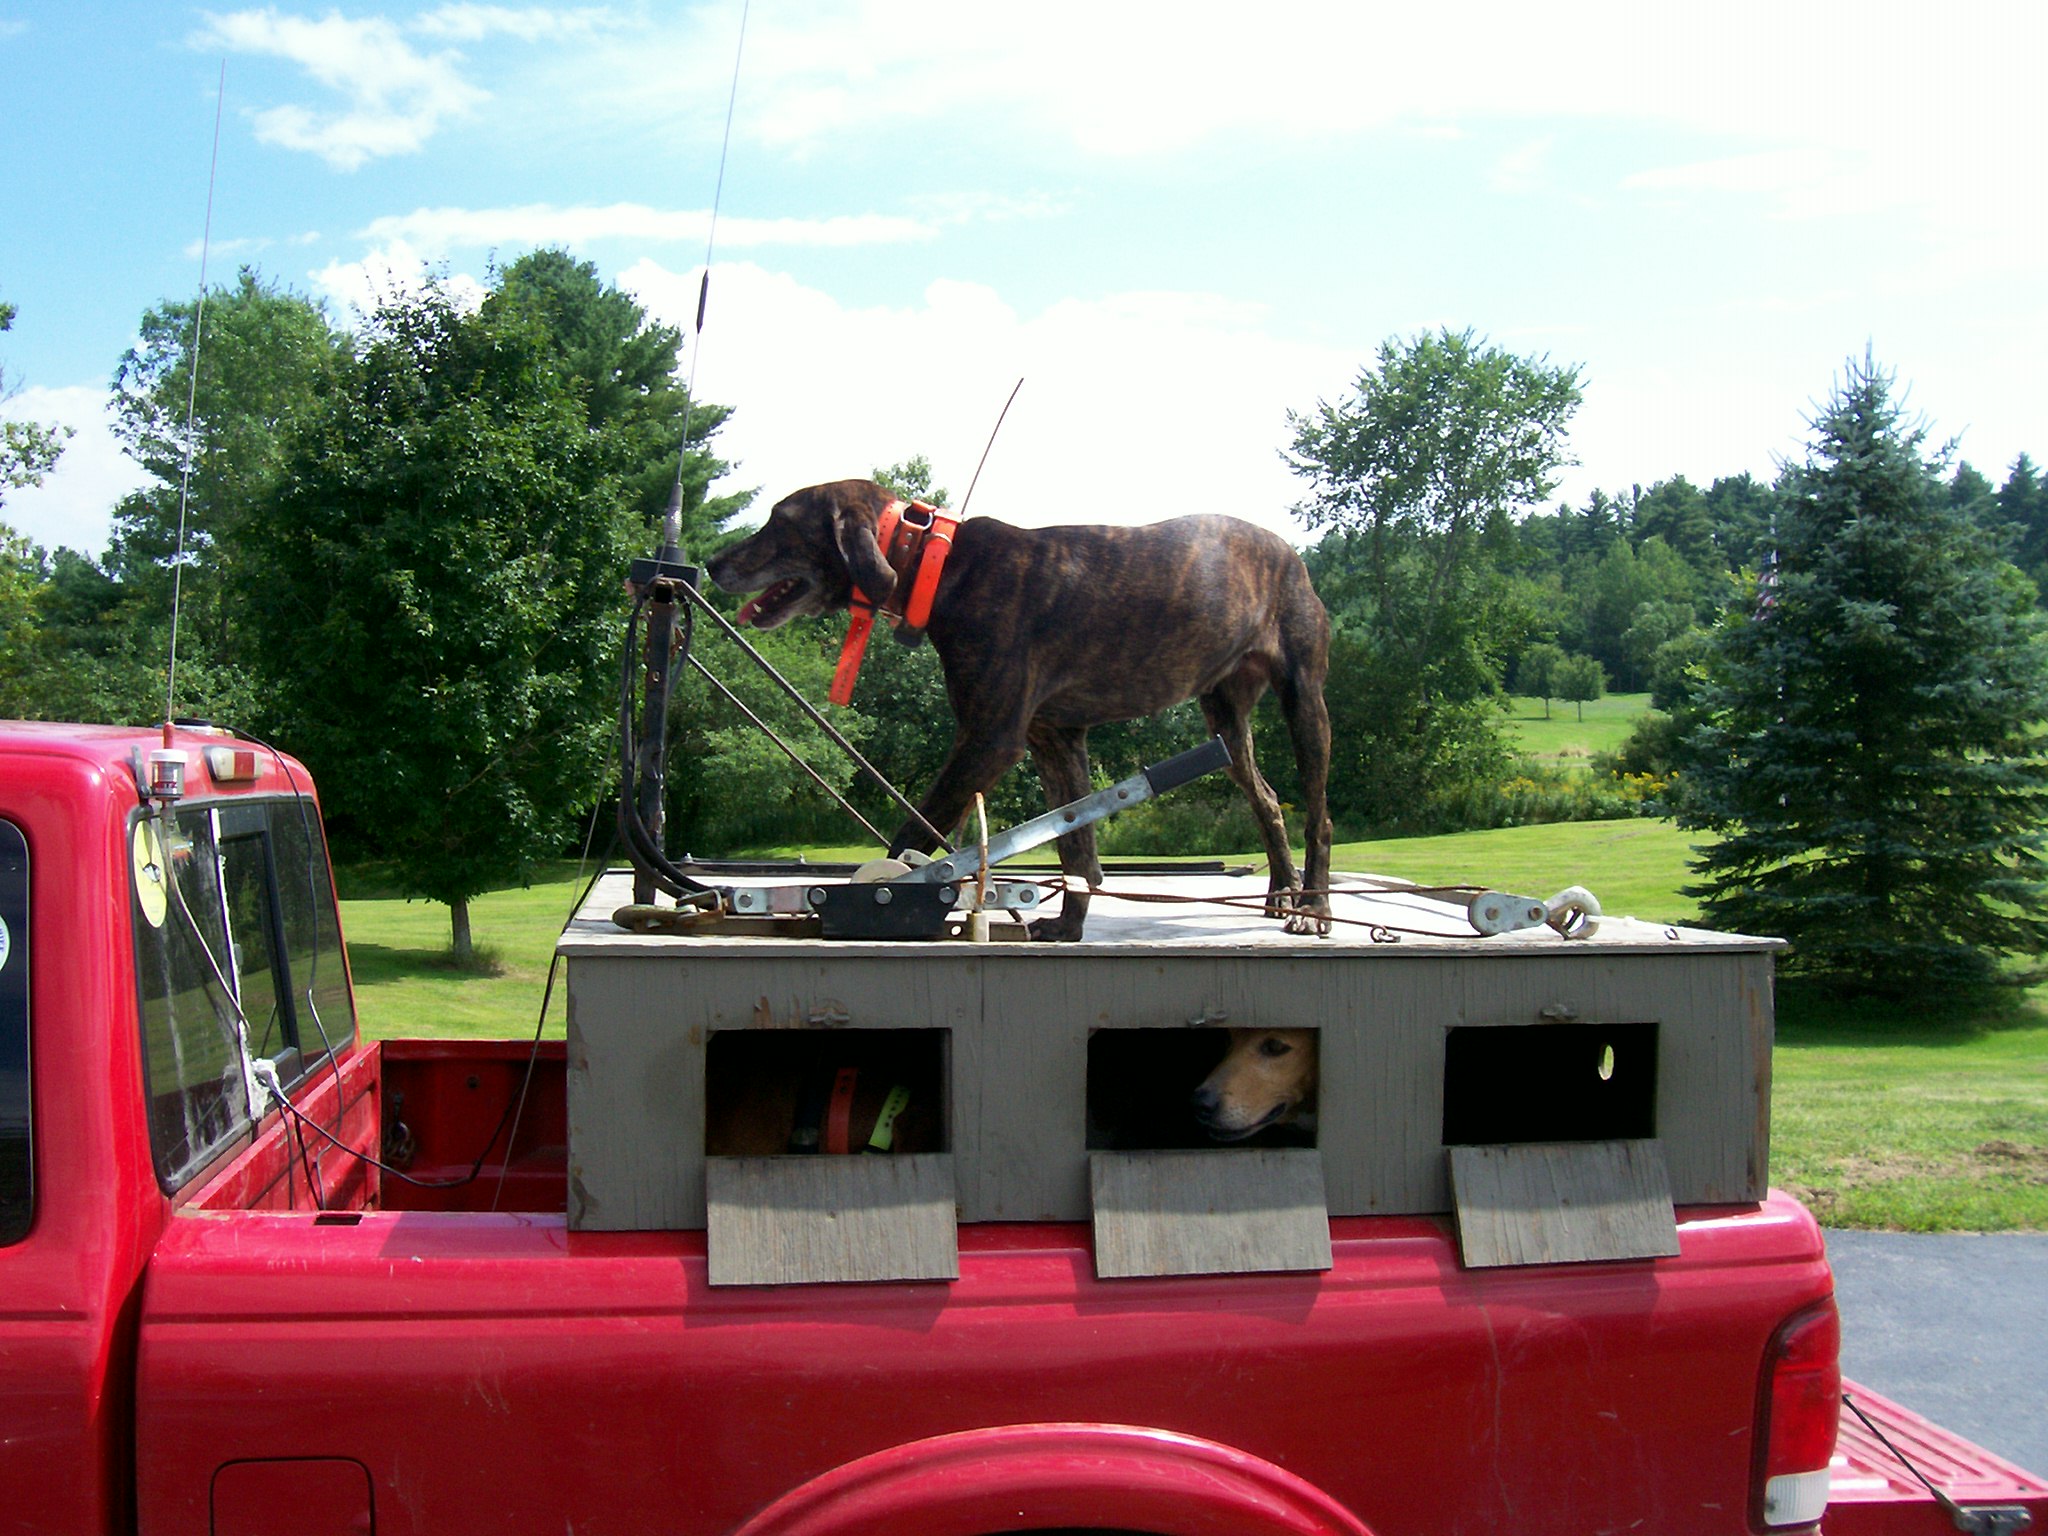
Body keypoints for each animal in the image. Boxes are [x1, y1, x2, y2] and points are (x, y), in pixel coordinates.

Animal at [706, 478, 1333, 941]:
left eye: (780, 522)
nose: (712, 563)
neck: (939, 563)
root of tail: (1291, 554)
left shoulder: (990, 738)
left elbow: (916, 832)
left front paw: (879, 900)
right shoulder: (1055, 736)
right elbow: (1078, 850)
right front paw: (1067, 927)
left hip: (1305, 699)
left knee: (1317, 816)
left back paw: (1315, 908)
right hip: (1225, 719)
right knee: (1269, 801)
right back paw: (1282, 891)